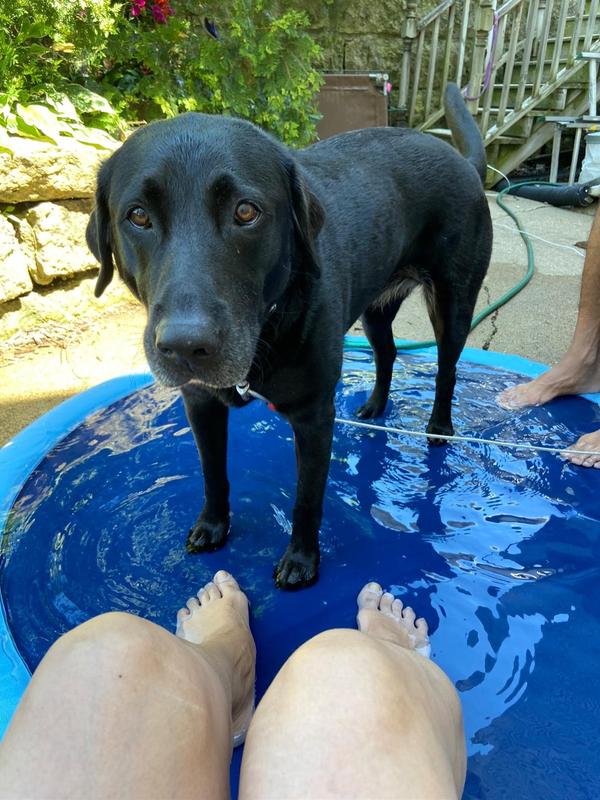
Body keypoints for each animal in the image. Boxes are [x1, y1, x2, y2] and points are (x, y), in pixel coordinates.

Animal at [88, 84, 492, 592]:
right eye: (138, 216)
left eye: (246, 211)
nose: (185, 347)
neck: (269, 325)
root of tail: (464, 162)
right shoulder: (200, 404)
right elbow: (213, 474)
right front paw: (213, 526)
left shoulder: (314, 418)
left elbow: (306, 500)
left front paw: (301, 561)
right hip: (375, 309)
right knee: (388, 354)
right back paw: (375, 406)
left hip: (453, 303)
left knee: (446, 369)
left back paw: (439, 428)